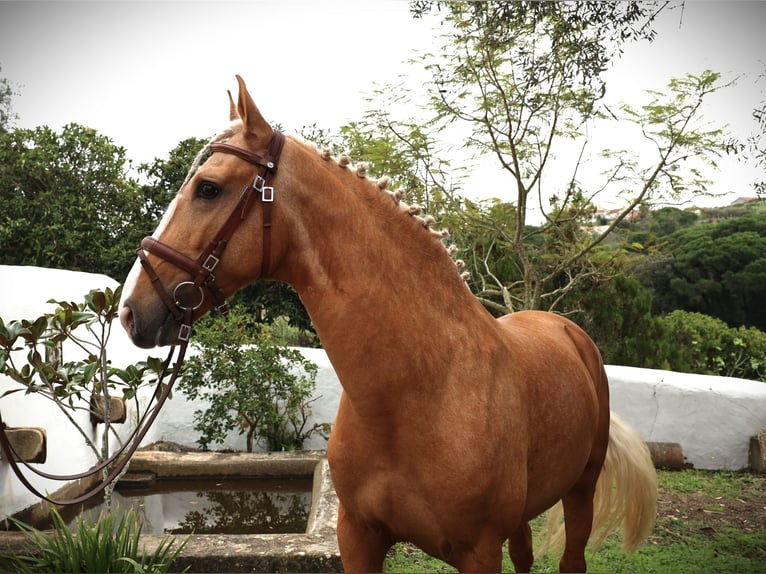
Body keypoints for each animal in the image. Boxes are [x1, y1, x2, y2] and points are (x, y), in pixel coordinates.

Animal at [121, 77, 660, 574]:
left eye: (208, 188)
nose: (130, 310)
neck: (421, 392)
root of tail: (565, 329)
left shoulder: (479, 551)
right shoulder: (357, 536)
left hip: (581, 489)